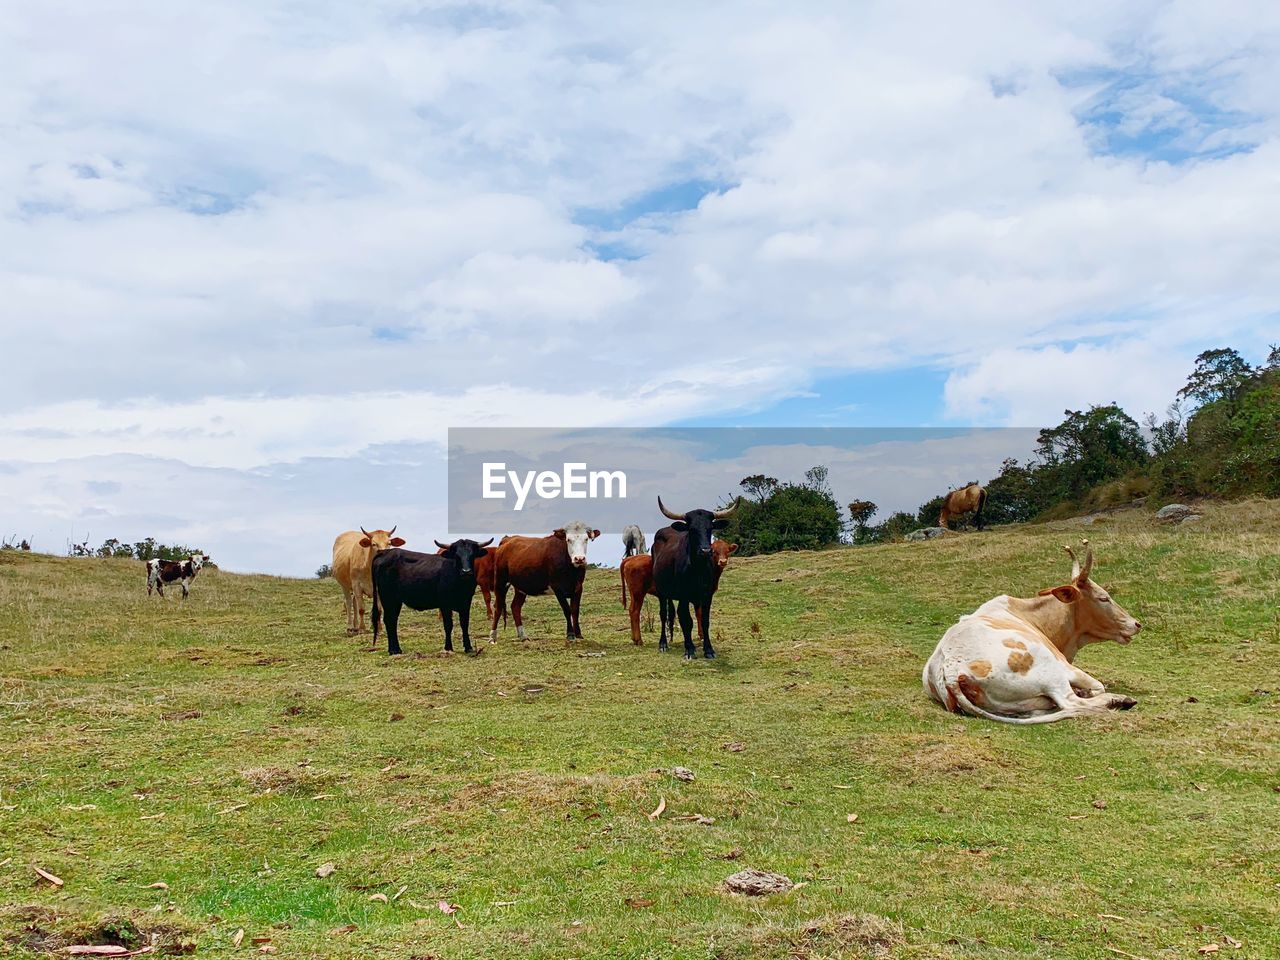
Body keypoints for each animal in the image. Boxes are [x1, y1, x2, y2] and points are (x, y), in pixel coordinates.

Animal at [650, 496, 742, 660]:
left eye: (710, 528)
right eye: (692, 529)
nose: (705, 550)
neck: (697, 569)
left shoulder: (707, 595)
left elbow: (704, 621)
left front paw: (709, 650)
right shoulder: (684, 595)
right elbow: (686, 620)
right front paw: (689, 650)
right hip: (661, 592)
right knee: (663, 615)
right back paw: (663, 644)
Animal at [926, 545, 1146, 727]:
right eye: (1103, 598)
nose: (1136, 624)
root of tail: (951, 668)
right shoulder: (1066, 666)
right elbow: (1097, 687)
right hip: (1052, 672)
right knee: (1071, 702)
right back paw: (1118, 700)